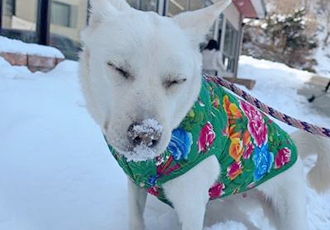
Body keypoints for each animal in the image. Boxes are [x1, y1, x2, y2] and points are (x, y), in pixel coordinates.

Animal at [79, 0, 330, 229]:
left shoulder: (192, 207)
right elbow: (135, 218)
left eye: (176, 80)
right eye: (118, 68)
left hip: (288, 211)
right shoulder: (136, 184)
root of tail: (293, 145)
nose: (146, 135)